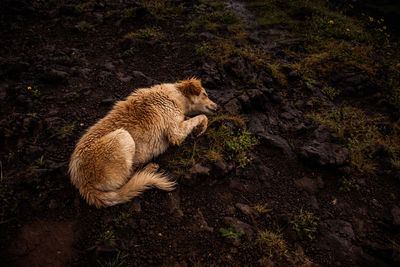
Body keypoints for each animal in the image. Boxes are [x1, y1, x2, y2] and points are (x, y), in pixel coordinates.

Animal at [69, 78, 219, 208]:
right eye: (205, 94)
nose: (217, 107)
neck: (175, 96)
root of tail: (82, 184)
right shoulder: (176, 133)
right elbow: (200, 117)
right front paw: (201, 126)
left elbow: (192, 118)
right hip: (123, 136)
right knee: (129, 178)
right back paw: (148, 169)